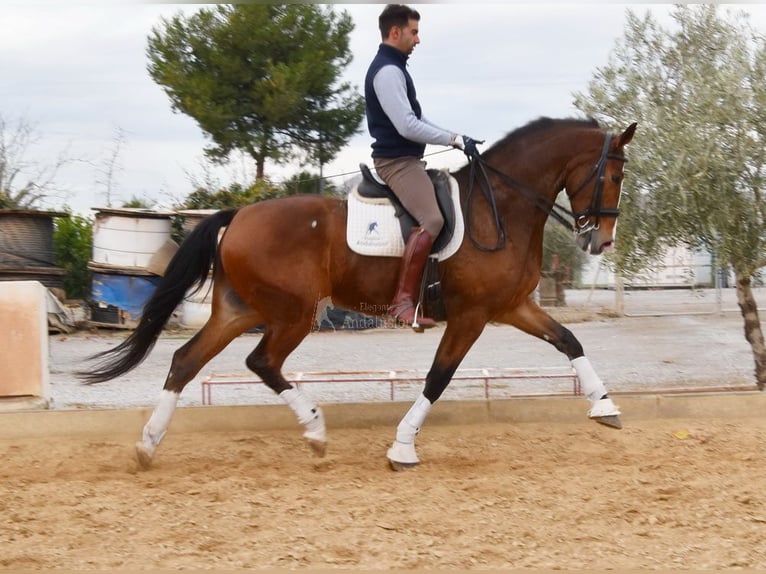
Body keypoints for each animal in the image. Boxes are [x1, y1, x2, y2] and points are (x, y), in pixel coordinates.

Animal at [81, 117, 640, 472]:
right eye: (614, 175)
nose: (601, 241)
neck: (498, 206)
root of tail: (237, 215)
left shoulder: (512, 307)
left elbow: (568, 341)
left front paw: (605, 407)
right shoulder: (471, 316)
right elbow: (438, 379)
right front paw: (402, 449)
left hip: (239, 310)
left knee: (185, 361)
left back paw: (149, 445)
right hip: (293, 313)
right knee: (262, 362)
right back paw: (314, 430)